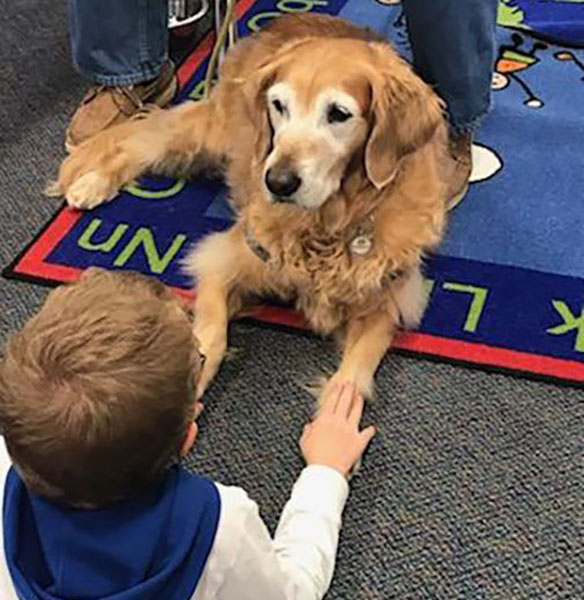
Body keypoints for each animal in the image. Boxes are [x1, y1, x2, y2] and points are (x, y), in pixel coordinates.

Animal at [51, 14, 452, 400]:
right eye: (279, 105)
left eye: (338, 113)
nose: (278, 182)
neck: (328, 224)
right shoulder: (222, 258)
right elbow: (211, 337)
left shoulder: (387, 303)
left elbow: (351, 379)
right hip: (211, 135)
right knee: (138, 142)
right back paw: (91, 183)